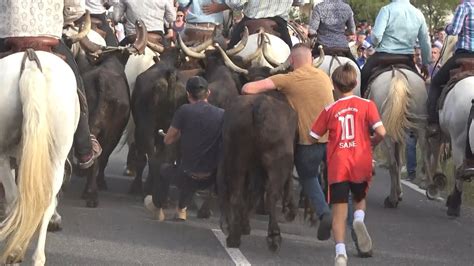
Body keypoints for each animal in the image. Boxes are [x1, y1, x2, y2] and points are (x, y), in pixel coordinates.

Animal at [368, 66, 432, 208]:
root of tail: (398, 75)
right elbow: (400, 161)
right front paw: (400, 193)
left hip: (387, 133)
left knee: (392, 164)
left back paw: (392, 199)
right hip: (420, 126)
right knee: (425, 154)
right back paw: (429, 186)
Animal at [424, 35, 472, 217]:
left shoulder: (443, 133)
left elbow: (437, 150)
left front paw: (437, 179)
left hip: (459, 139)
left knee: (459, 170)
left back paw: (454, 205)